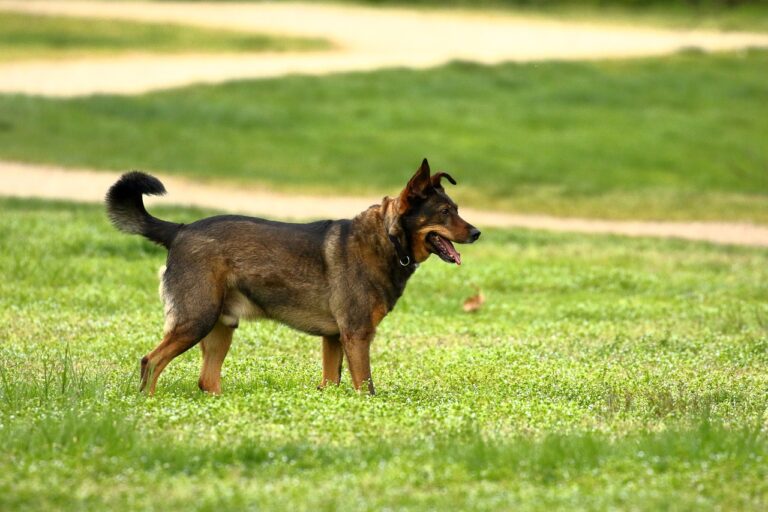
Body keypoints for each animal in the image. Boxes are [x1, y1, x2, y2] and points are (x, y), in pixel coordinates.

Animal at [106, 160, 480, 396]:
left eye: (458, 209)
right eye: (445, 212)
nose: (477, 233)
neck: (386, 238)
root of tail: (180, 230)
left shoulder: (334, 338)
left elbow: (331, 383)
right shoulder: (357, 336)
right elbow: (367, 387)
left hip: (220, 327)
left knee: (206, 381)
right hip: (196, 319)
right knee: (151, 362)